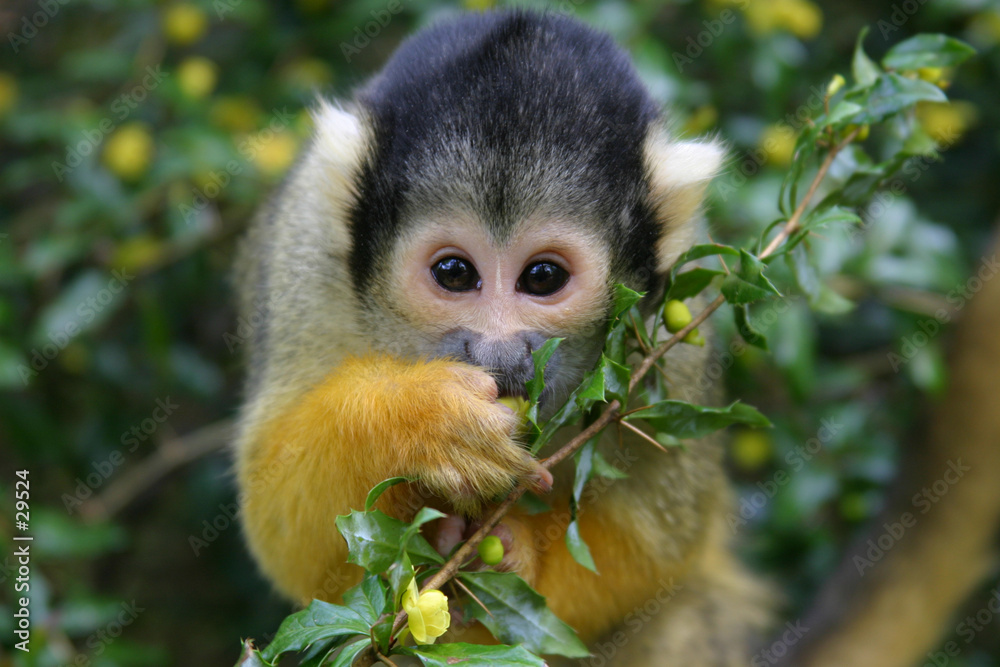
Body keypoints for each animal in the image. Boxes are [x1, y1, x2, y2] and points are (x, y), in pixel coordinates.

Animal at [233, 9, 773, 665]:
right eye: (454, 272)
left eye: (543, 278)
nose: (499, 354)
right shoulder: (307, 256)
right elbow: (286, 534)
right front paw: (422, 423)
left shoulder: (675, 318)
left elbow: (654, 548)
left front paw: (516, 558)